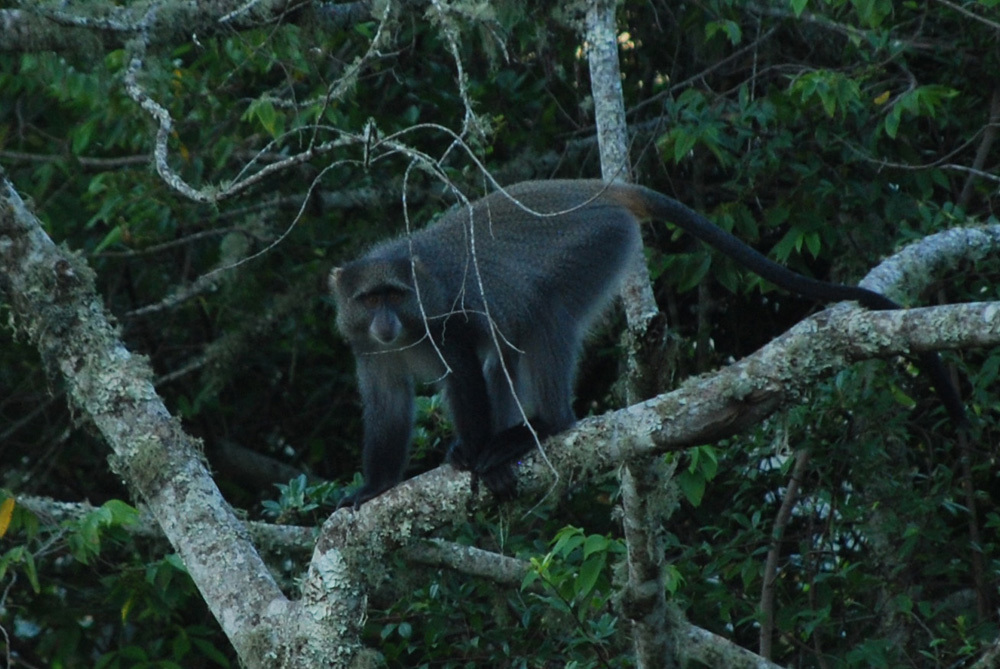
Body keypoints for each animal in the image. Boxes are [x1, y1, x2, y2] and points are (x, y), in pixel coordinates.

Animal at [330, 179, 968, 506]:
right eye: (369, 298)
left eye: (393, 294)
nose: (385, 321)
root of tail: (598, 190)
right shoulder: (367, 350)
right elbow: (389, 407)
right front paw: (375, 486)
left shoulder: (445, 323)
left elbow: (463, 375)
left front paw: (478, 453)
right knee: (509, 349)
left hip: (597, 243)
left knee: (543, 319)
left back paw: (541, 428)